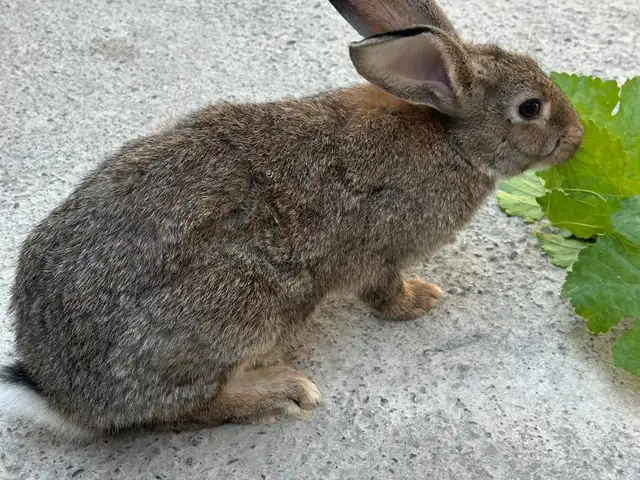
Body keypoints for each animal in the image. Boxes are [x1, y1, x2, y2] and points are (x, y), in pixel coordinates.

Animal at [0, 0, 584, 439]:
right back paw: (282, 391)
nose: (577, 139)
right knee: (177, 411)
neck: (452, 136)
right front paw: (421, 300)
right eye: (530, 108)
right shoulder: (380, 253)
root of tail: (62, 397)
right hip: (243, 312)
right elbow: (384, 292)